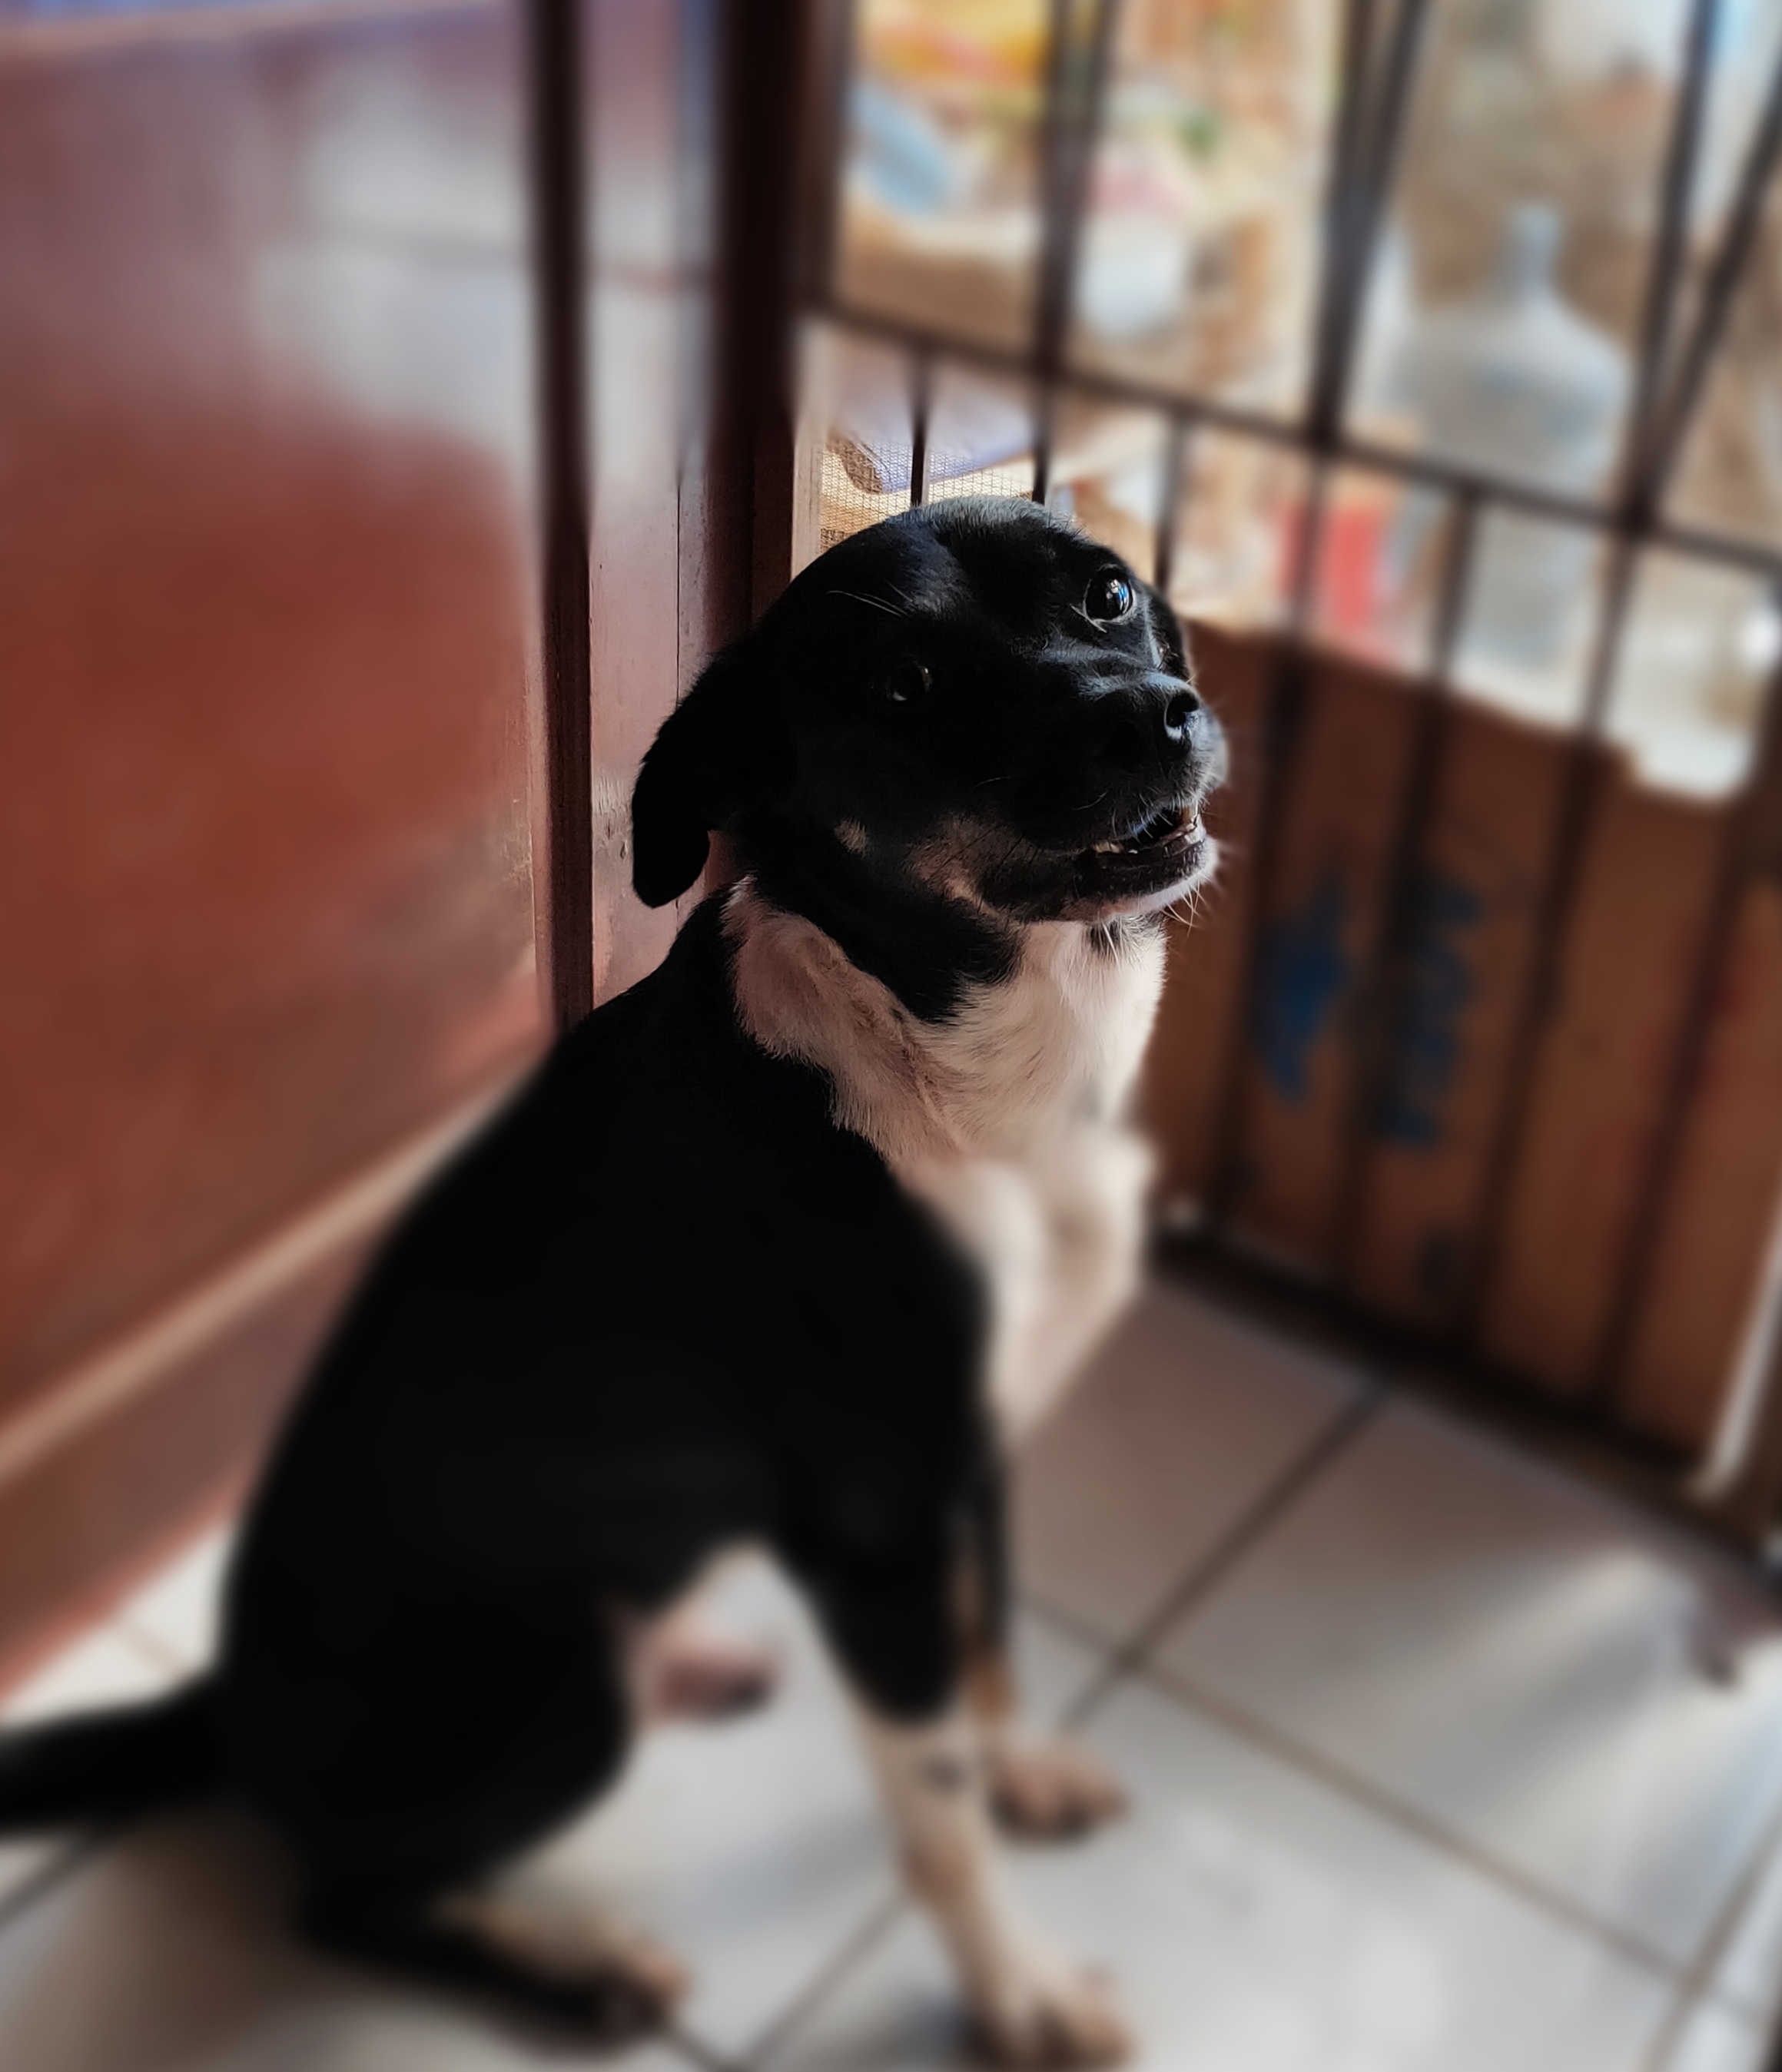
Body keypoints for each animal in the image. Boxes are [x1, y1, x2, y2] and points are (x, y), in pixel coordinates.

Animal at [0, 497, 1222, 2066]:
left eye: (1106, 594)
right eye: (900, 686)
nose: (1150, 713)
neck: (970, 1086)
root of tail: (220, 1707)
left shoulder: (984, 1450)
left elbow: (993, 1636)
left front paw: (1025, 1772)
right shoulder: (875, 1531)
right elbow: (936, 1808)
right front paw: (1019, 1991)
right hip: (548, 1678)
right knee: (348, 1899)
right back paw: (579, 1965)